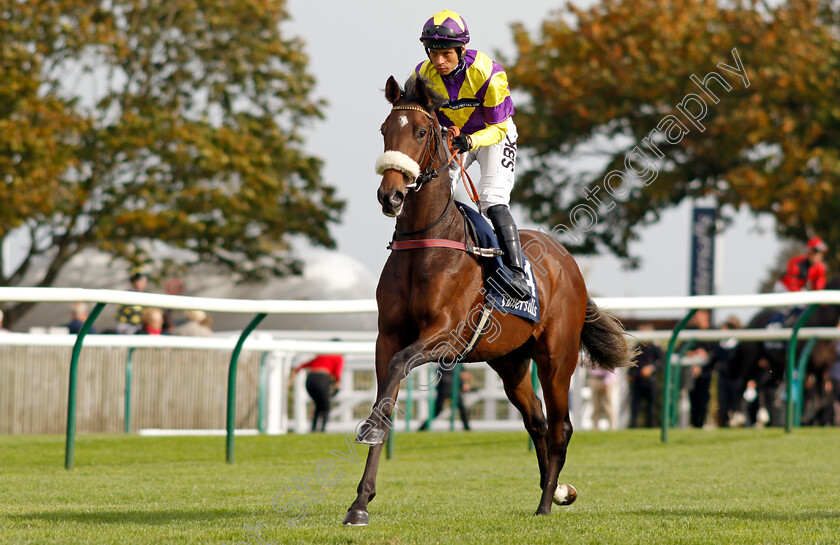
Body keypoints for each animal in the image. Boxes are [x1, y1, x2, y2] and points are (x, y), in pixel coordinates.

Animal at [344, 74, 632, 524]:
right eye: (384, 130)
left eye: (422, 131)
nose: (390, 196)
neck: (426, 242)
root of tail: (568, 261)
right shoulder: (386, 337)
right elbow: (386, 398)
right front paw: (360, 502)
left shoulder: (445, 336)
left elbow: (399, 367)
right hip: (510, 362)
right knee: (537, 421)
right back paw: (557, 489)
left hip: (557, 357)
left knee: (560, 426)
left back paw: (547, 501)